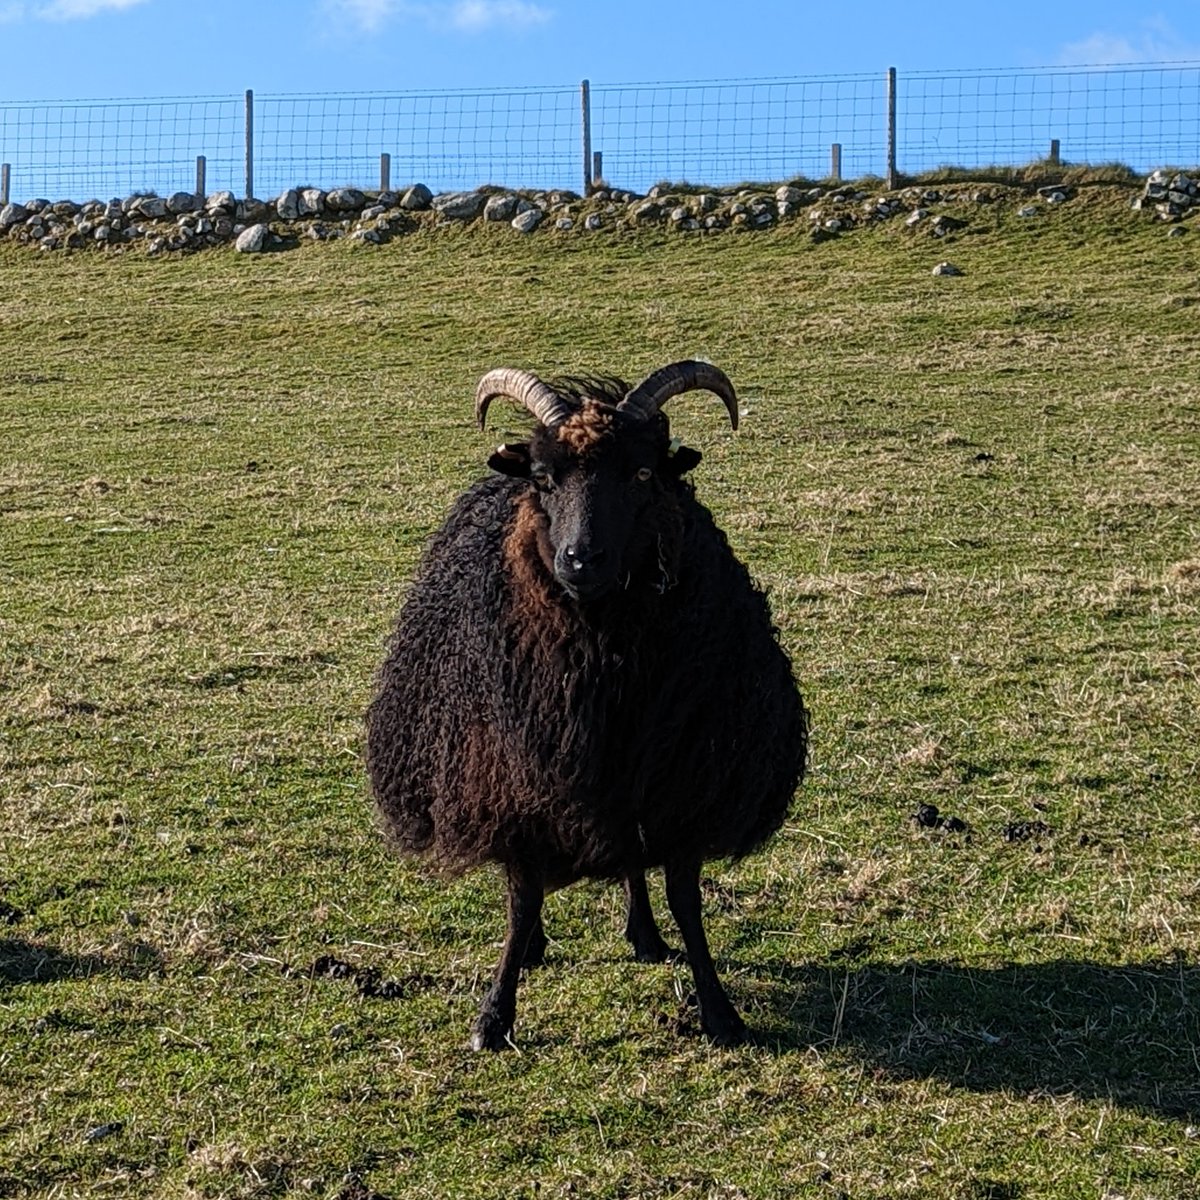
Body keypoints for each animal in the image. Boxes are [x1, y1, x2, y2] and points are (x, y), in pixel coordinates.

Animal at [366, 360, 807, 1050]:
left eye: (644, 474)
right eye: (546, 480)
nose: (581, 559)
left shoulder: (684, 785)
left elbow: (685, 900)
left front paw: (718, 1010)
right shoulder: (513, 786)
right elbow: (521, 902)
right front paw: (494, 1015)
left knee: (632, 862)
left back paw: (644, 935)